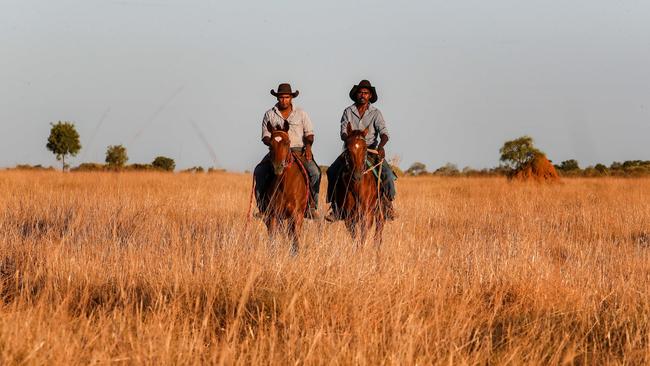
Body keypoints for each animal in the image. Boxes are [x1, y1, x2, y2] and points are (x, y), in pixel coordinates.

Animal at [262, 120, 308, 254]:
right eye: (269, 145)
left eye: (287, 143)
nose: (278, 167)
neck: (285, 185)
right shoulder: (273, 215)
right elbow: (272, 240)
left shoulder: (295, 215)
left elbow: (295, 240)